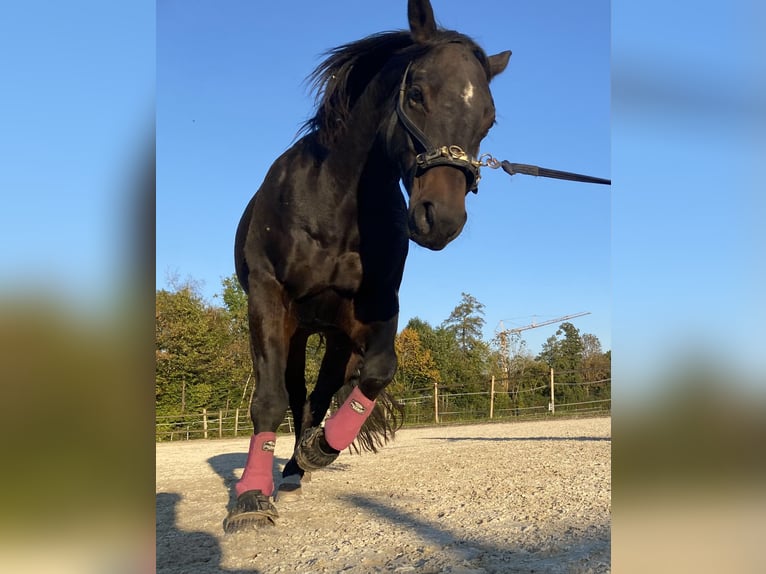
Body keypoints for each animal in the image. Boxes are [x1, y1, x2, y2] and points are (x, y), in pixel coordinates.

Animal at [224, 0, 510, 533]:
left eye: (488, 119)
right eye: (416, 93)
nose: (442, 219)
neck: (331, 204)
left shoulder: (373, 307)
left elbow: (378, 371)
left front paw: (320, 450)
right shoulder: (269, 298)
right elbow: (269, 397)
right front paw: (251, 498)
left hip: (332, 336)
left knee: (316, 398)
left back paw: (299, 464)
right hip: (298, 329)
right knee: (294, 393)